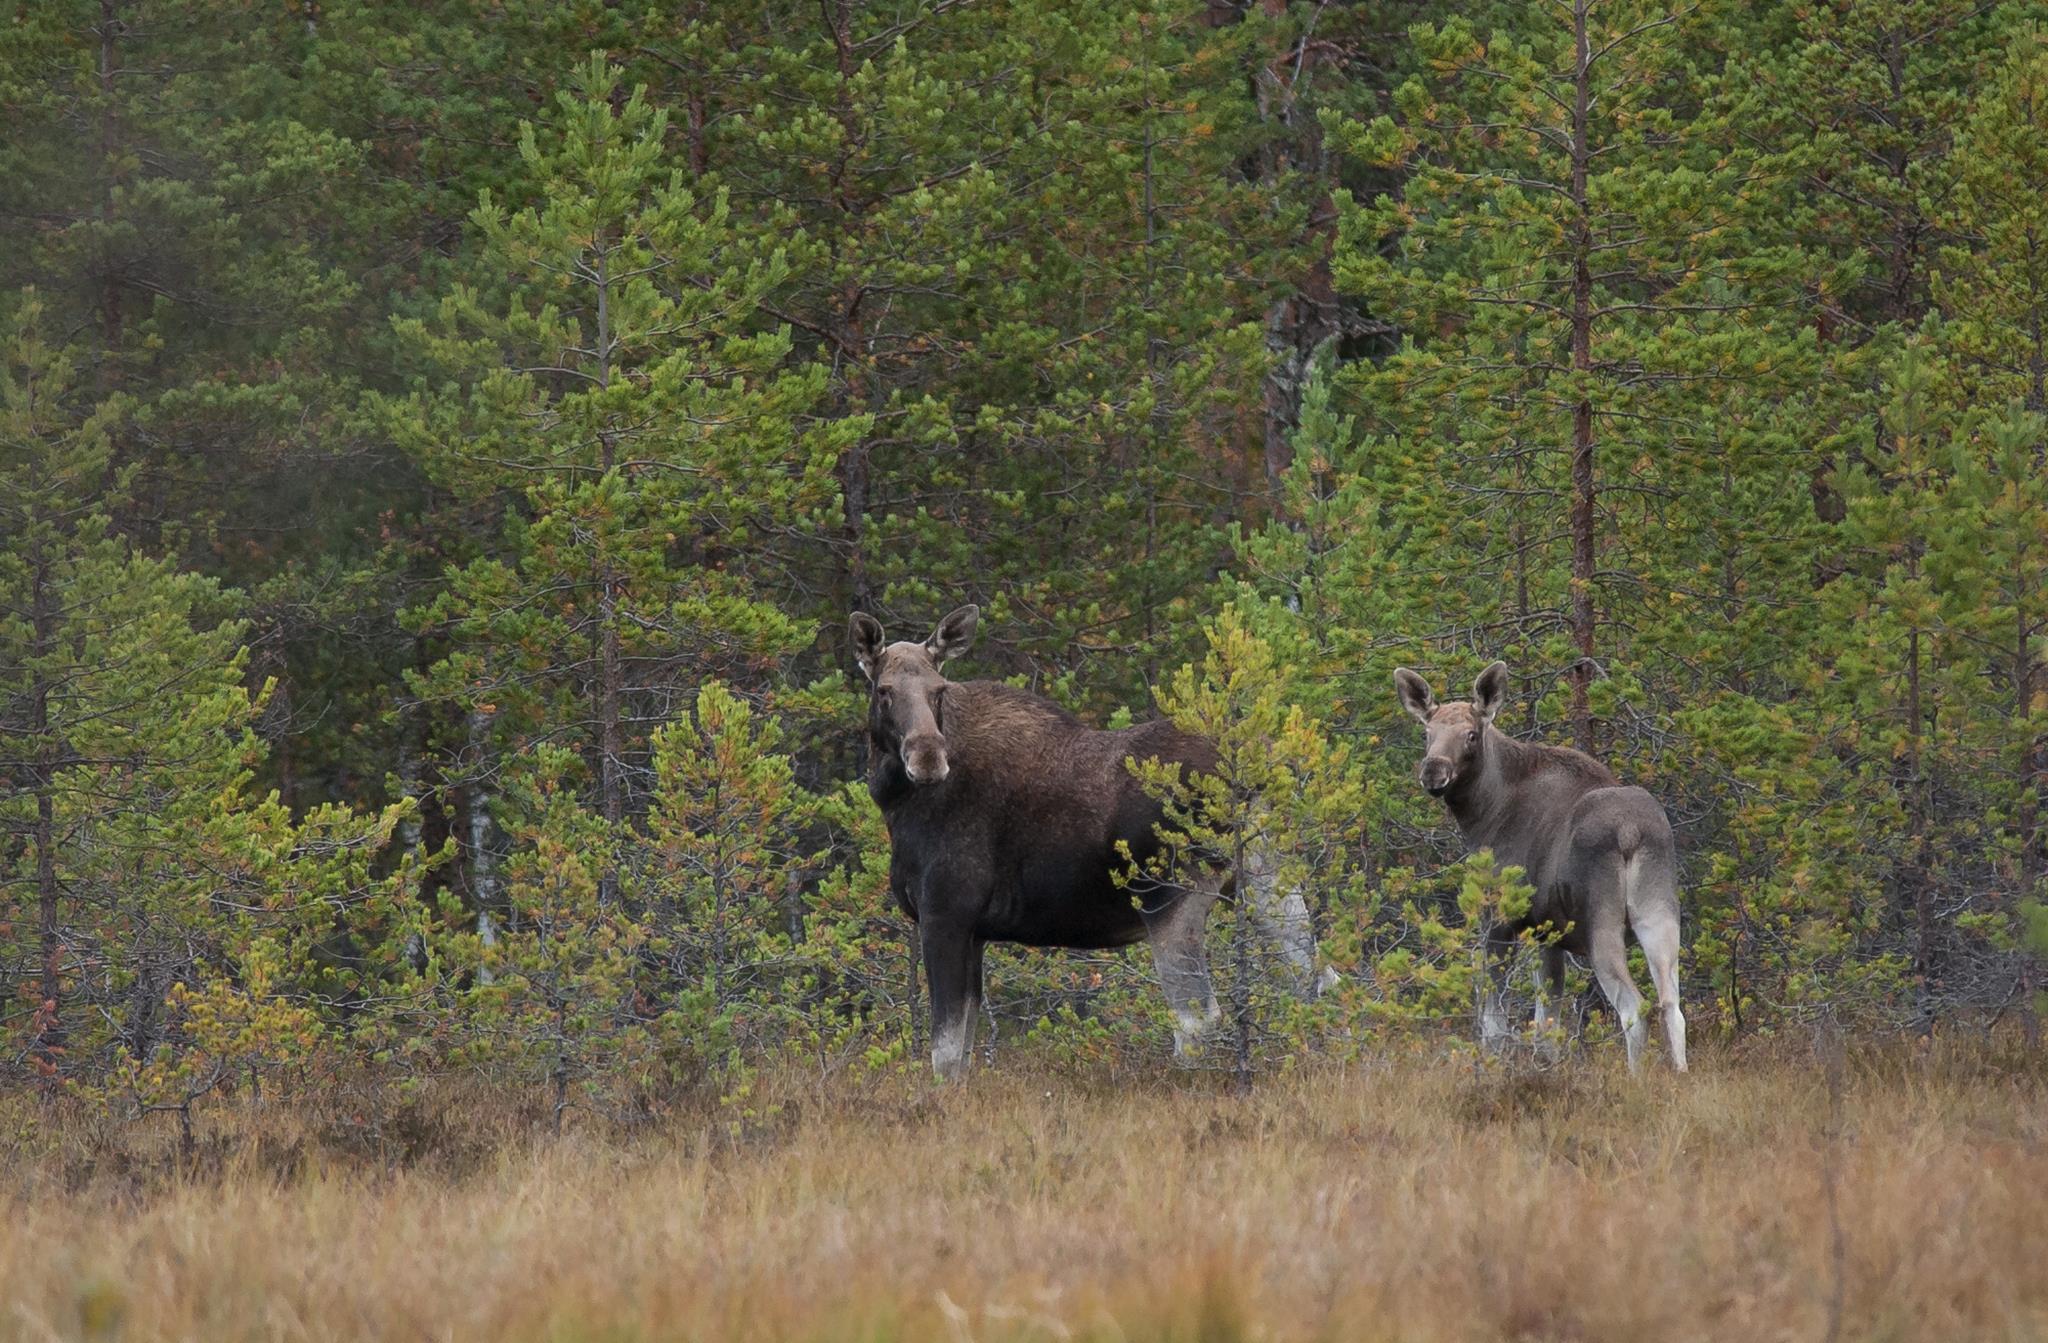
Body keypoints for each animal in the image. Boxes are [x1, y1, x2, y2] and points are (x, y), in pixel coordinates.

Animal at [851, 610, 1318, 1080]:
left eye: (939, 690)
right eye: (883, 690)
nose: (928, 758)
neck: (896, 804)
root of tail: (1261, 767)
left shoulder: (945, 915)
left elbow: (944, 1052)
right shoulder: (975, 932)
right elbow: (964, 1047)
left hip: (1170, 898)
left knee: (1196, 1016)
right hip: (1266, 877)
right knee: (1315, 979)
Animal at [1392, 659, 1695, 1072]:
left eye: (1471, 734)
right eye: (1427, 732)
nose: (1434, 772)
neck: (1484, 814)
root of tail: (1632, 833)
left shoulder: (1499, 918)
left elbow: (1494, 1022)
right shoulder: (1547, 935)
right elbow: (1546, 1022)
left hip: (1603, 924)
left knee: (1634, 1006)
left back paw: (1637, 1078)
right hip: (1659, 914)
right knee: (1671, 1005)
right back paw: (1679, 1074)